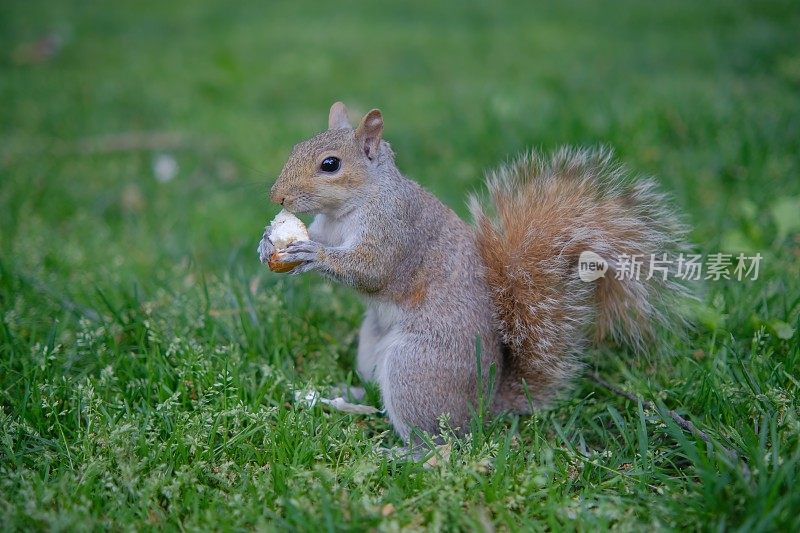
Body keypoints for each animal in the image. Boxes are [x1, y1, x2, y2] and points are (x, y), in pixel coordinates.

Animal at [260, 100, 692, 440]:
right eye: (297, 146)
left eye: (330, 165)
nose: (276, 196)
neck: (348, 209)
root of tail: (484, 406)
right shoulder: (328, 226)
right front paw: (267, 242)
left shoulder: (396, 229)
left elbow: (372, 271)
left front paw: (313, 255)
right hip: (370, 348)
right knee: (375, 389)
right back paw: (346, 395)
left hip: (415, 367)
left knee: (440, 439)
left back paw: (405, 453)